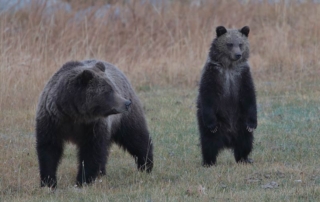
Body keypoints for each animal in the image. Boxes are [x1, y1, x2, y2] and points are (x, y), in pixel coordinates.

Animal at [35, 59, 153, 188]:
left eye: (114, 88)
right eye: (108, 91)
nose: (126, 103)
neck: (73, 114)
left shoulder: (92, 126)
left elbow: (92, 151)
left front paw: (83, 180)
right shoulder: (52, 121)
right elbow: (49, 149)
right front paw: (48, 182)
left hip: (125, 119)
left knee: (136, 137)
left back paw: (146, 166)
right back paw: (102, 172)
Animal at [196, 26, 258, 166]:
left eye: (240, 44)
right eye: (229, 44)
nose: (238, 54)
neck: (229, 67)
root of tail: (228, 140)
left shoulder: (242, 76)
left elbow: (249, 97)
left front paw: (252, 123)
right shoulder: (213, 74)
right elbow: (207, 96)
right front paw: (212, 124)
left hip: (240, 122)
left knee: (245, 141)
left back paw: (244, 158)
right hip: (215, 123)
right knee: (208, 142)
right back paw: (209, 161)